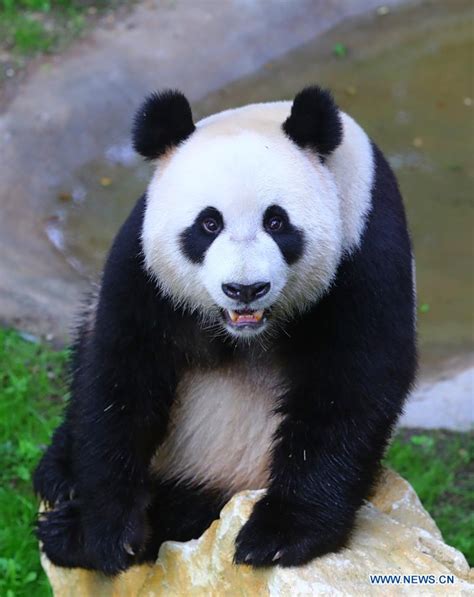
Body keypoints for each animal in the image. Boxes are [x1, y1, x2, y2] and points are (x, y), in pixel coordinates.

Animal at [35, 86, 416, 576]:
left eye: (276, 221)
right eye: (208, 223)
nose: (245, 289)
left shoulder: (365, 245)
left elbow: (352, 384)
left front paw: (280, 535)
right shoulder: (145, 263)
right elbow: (120, 374)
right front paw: (104, 533)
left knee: (194, 509)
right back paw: (59, 477)